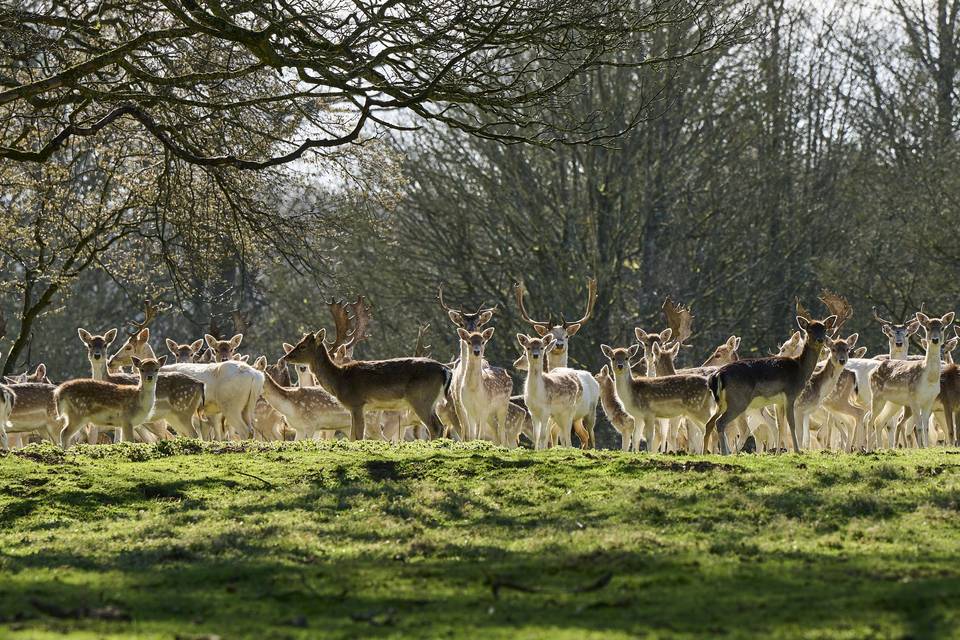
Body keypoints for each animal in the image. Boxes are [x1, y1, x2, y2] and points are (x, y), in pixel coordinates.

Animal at [282, 328, 451, 440]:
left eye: (302, 346)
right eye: (298, 342)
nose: (286, 357)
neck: (339, 379)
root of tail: (445, 369)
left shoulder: (357, 403)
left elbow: (357, 435)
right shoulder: (354, 408)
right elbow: (352, 436)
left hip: (421, 399)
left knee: (435, 427)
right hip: (430, 402)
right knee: (440, 426)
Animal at [703, 314, 837, 455]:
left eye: (824, 329)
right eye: (809, 330)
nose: (820, 340)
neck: (801, 368)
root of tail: (717, 375)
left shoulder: (778, 402)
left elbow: (780, 426)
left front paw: (778, 452)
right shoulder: (790, 394)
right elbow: (791, 423)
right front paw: (797, 451)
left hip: (721, 403)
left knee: (709, 423)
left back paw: (704, 452)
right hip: (738, 401)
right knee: (720, 423)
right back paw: (725, 453)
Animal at [868, 311, 954, 449]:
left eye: (942, 328)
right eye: (927, 328)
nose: (935, 340)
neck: (929, 378)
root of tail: (872, 372)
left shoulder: (929, 401)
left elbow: (925, 427)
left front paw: (926, 447)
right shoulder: (913, 399)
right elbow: (918, 427)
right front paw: (921, 447)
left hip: (892, 403)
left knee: (879, 421)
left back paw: (879, 448)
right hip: (876, 396)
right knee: (870, 420)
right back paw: (866, 448)